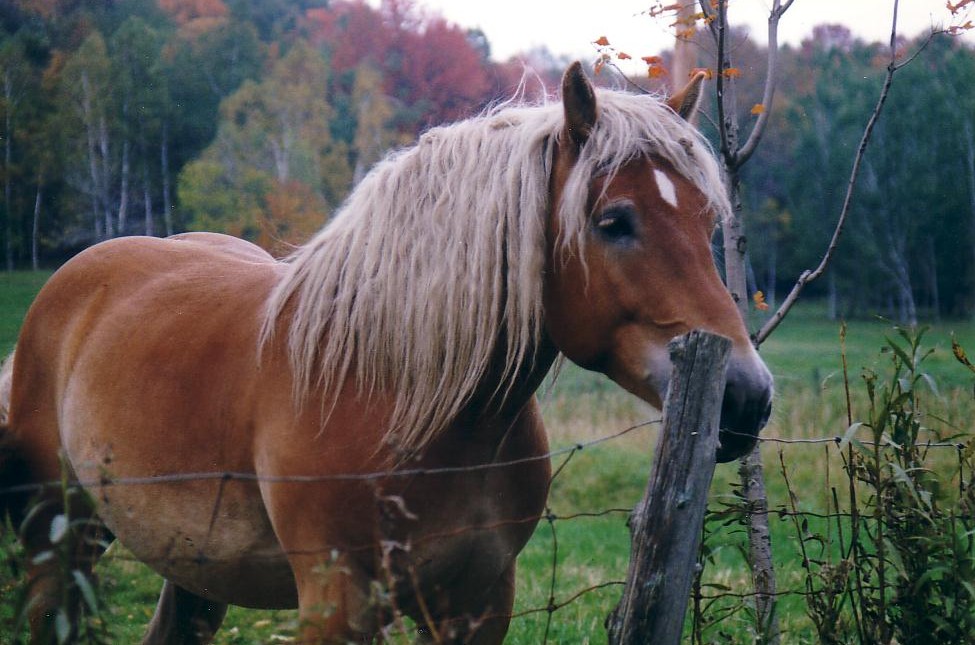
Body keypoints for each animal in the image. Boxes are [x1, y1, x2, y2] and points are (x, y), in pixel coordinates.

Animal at [3, 61, 772, 644]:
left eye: (708, 220)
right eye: (613, 221)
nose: (747, 396)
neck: (403, 399)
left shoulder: (478, 605)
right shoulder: (336, 605)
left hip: (189, 569)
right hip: (58, 542)